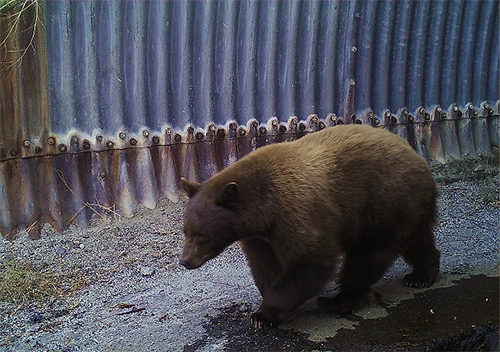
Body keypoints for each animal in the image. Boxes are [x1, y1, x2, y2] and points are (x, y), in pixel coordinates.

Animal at [179, 124, 438, 330]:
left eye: (200, 234)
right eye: (186, 231)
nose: (185, 261)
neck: (264, 209)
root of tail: (416, 156)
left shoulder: (296, 212)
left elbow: (311, 259)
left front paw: (265, 315)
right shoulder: (258, 236)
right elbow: (264, 265)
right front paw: (268, 310)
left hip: (383, 204)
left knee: (367, 258)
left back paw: (339, 300)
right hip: (403, 209)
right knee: (417, 241)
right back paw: (421, 275)